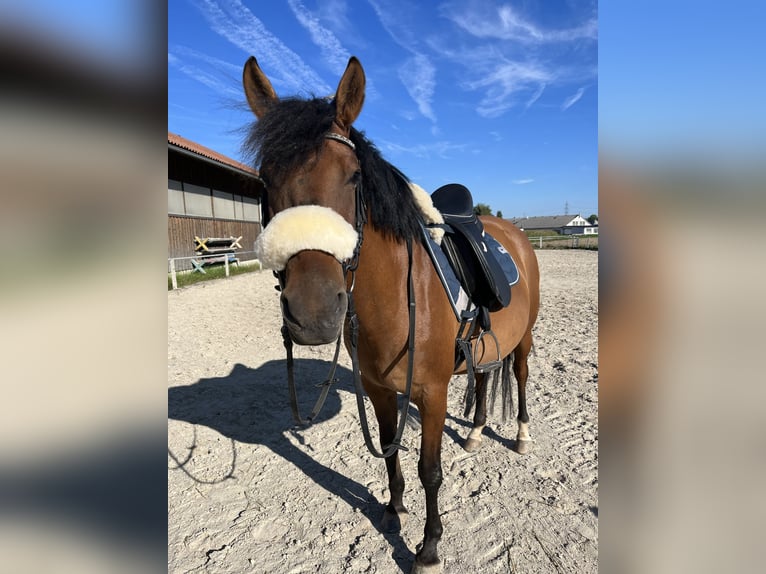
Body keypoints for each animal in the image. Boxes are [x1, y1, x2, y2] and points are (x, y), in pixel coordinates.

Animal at [244, 55, 540, 574]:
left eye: (353, 177)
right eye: (264, 179)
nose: (314, 313)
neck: (396, 303)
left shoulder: (433, 393)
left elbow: (430, 470)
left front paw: (429, 547)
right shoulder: (379, 390)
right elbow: (387, 450)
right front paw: (392, 510)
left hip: (523, 339)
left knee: (520, 376)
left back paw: (520, 435)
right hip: (484, 343)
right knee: (485, 376)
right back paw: (476, 433)